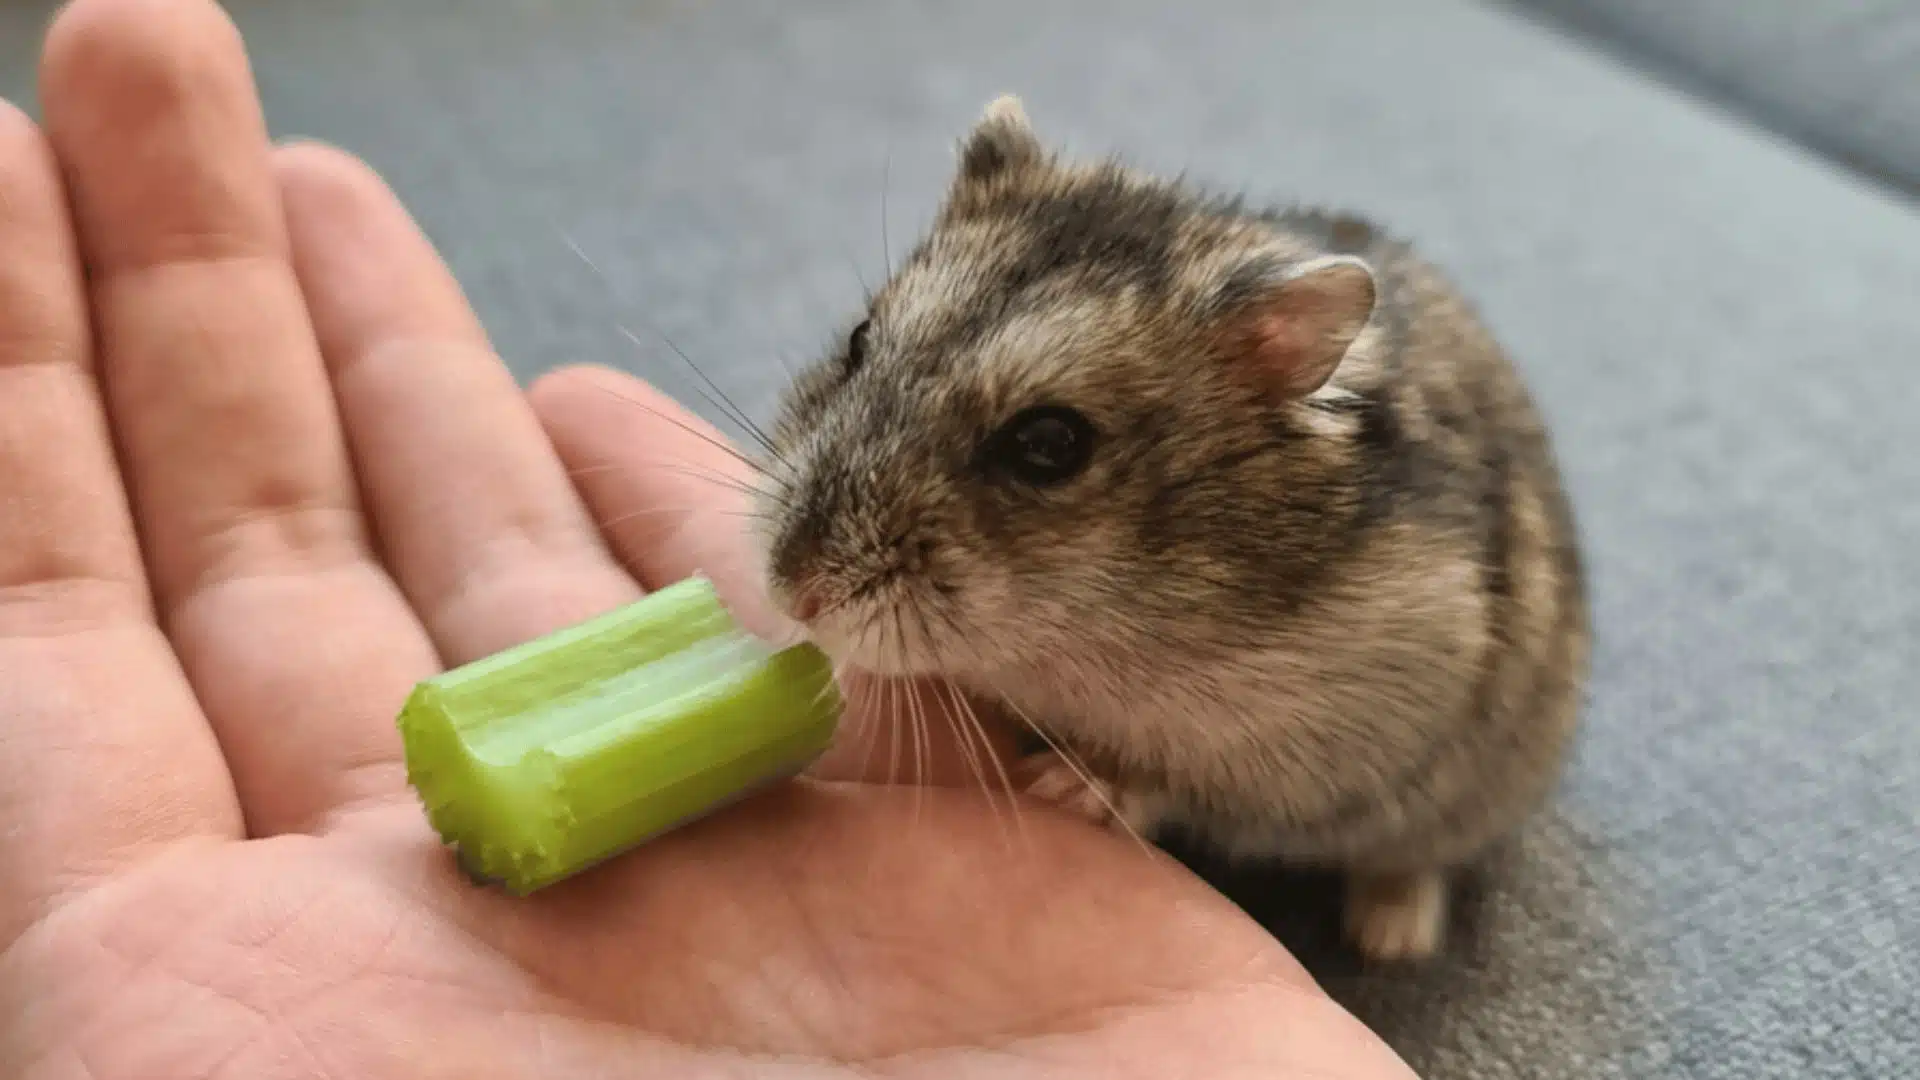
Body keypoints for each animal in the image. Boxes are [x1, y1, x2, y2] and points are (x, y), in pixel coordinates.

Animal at [749, 96, 1591, 962]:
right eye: (858, 341)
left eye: (1049, 444)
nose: (792, 590)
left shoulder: (1316, 741)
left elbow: (1169, 779)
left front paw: (1065, 783)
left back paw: (1391, 935)